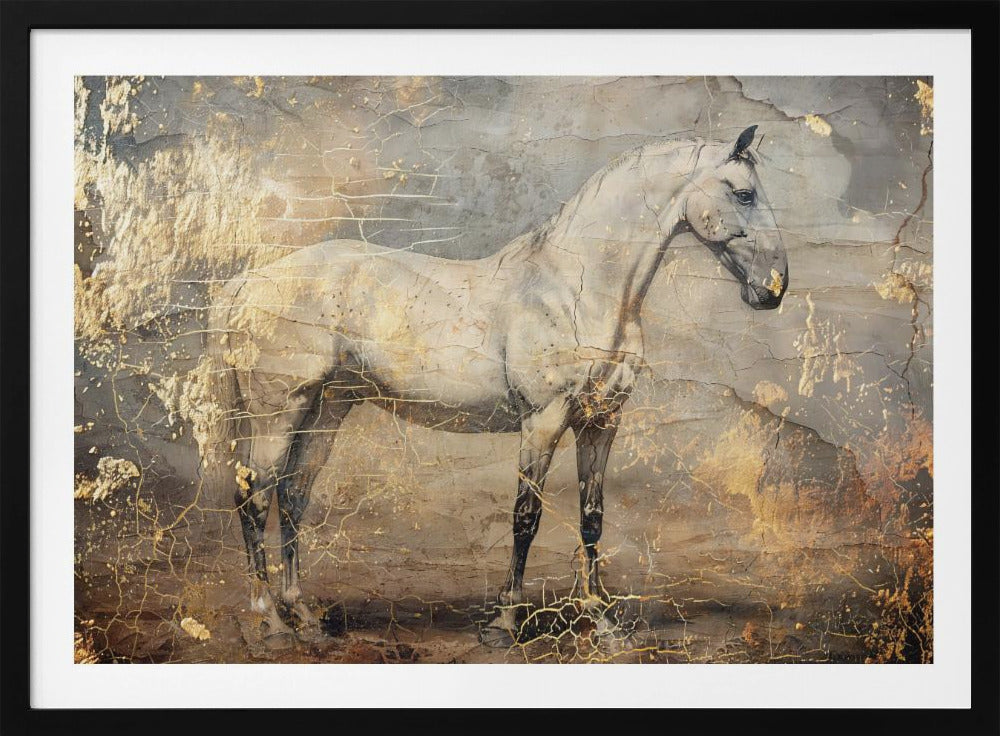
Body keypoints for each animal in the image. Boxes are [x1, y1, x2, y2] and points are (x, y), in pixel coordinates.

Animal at [202, 125, 788, 646]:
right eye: (744, 193)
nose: (774, 289)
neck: (579, 290)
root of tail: (247, 282)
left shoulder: (601, 422)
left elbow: (592, 518)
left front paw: (601, 617)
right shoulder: (543, 420)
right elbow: (526, 517)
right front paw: (506, 622)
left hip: (327, 409)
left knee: (293, 496)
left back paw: (302, 613)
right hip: (278, 410)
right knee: (255, 497)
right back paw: (271, 621)